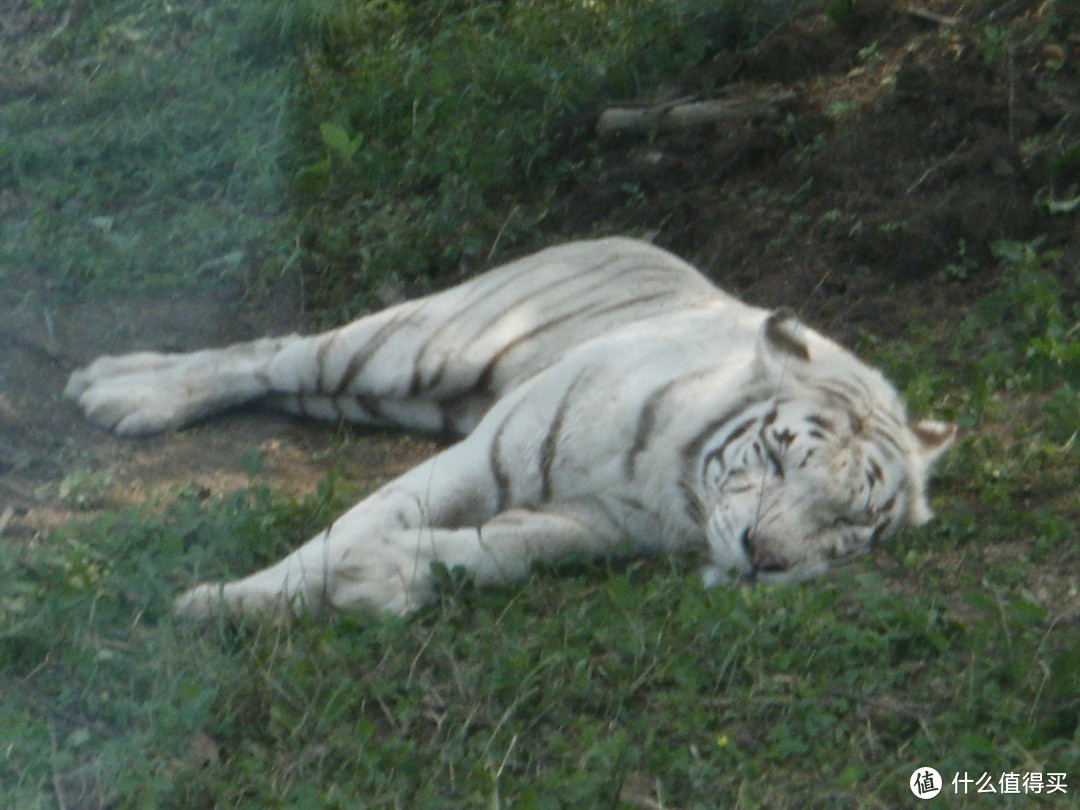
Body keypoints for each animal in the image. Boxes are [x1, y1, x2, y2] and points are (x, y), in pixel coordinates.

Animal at [65, 237, 954, 617]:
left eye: (848, 521)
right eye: (773, 456)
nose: (763, 557)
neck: (673, 487)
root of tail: (622, 234)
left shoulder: (592, 525)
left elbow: (503, 550)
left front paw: (385, 577)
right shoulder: (477, 457)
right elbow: (341, 530)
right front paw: (224, 602)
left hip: (399, 397)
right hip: (408, 351)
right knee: (275, 352)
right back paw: (118, 389)